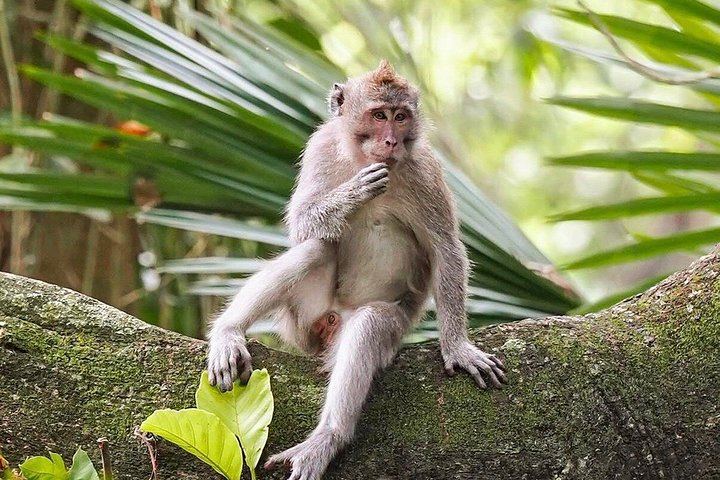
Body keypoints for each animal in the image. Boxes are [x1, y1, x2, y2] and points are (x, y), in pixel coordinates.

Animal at [207, 60, 507, 480]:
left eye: (400, 117)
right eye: (378, 115)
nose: (391, 142)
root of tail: (333, 320)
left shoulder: (425, 170)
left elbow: (445, 248)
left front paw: (457, 347)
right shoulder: (319, 148)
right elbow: (301, 225)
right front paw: (355, 192)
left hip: (383, 329)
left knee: (370, 324)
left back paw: (328, 437)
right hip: (302, 325)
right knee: (315, 249)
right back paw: (228, 332)